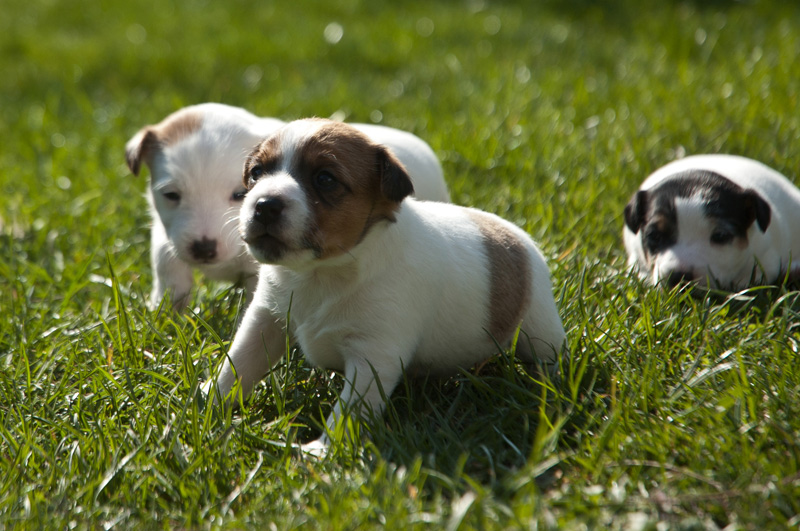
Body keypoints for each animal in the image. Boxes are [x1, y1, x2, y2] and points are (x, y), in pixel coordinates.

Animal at [125, 103, 450, 312]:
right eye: (170, 195)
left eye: (240, 193)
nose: (204, 249)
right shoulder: (166, 233)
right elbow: (167, 263)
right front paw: (163, 314)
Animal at [208, 119, 568, 454]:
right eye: (256, 173)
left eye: (325, 179)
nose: (264, 205)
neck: (320, 272)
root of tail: (520, 237)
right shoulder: (266, 318)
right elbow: (239, 361)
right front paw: (209, 400)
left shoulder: (373, 355)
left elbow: (350, 410)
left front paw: (323, 451)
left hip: (540, 329)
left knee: (547, 357)